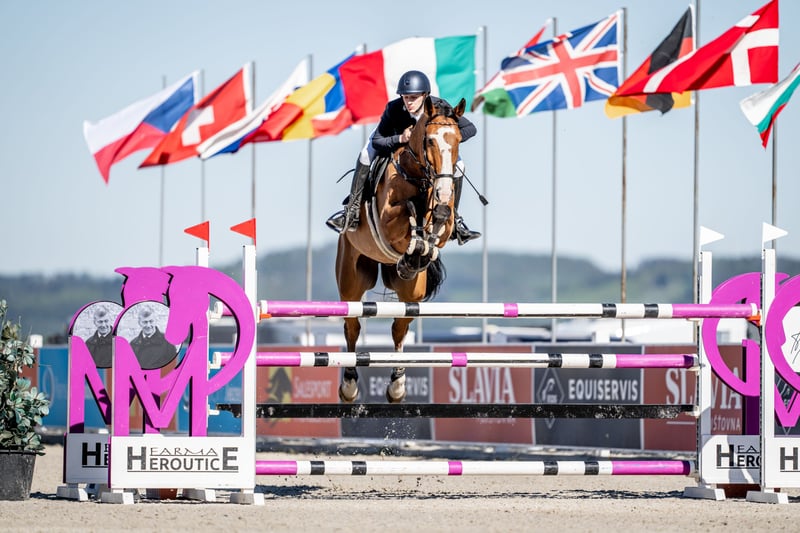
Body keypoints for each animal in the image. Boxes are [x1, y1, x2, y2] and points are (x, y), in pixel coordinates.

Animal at [335, 95, 467, 403]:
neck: (420, 177)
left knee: (399, 328)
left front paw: (424, 246)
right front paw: (417, 239)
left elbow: (439, 223)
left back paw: (397, 386)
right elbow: (406, 212)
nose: (444, 192)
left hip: (411, 293)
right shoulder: (388, 220)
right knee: (352, 325)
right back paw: (349, 385)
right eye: (429, 140)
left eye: (457, 140)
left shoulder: (444, 221)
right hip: (352, 280)